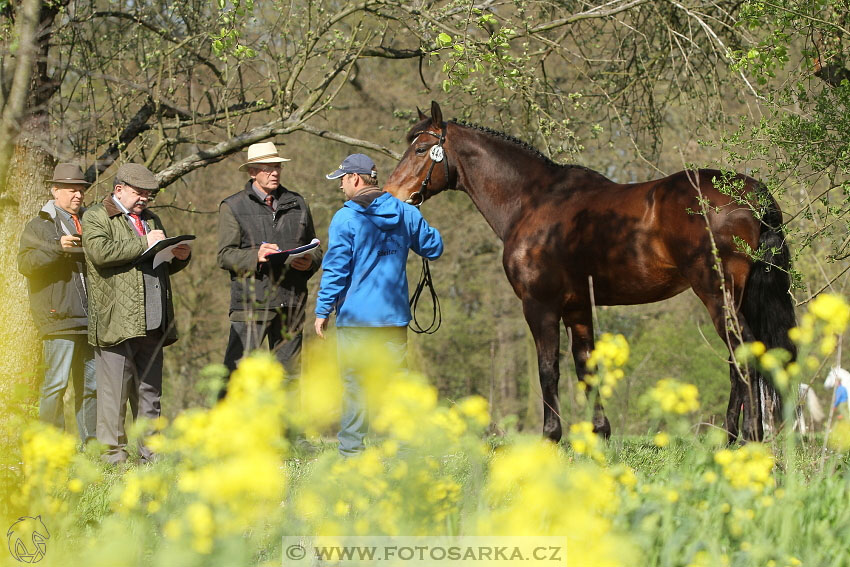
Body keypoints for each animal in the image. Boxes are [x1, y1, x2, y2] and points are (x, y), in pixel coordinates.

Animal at [384, 101, 796, 444]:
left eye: (420, 149)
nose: (391, 194)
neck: (532, 201)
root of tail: (752, 193)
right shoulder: (578, 306)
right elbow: (586, 366)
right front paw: (599, 433)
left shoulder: (540, 305)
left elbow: (548, 369)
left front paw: (552, 436)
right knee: (741, 356)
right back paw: (735, 437)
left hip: (716, 293)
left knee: (743, 352)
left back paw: (746, 437)